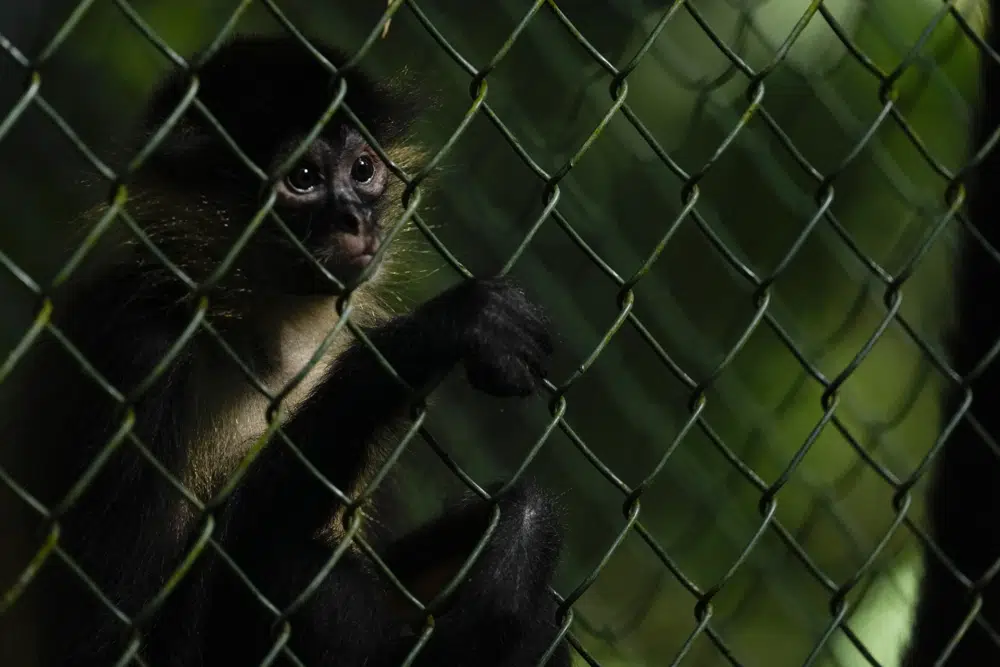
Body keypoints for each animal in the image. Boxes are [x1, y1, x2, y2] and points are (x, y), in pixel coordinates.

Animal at [0, 32, 572, 667]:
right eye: (303, 178)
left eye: (363, 170)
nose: (353, 217)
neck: (259, 332)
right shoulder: (134, 345)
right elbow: (105, 643)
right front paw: (448, 326)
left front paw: (521, 536)